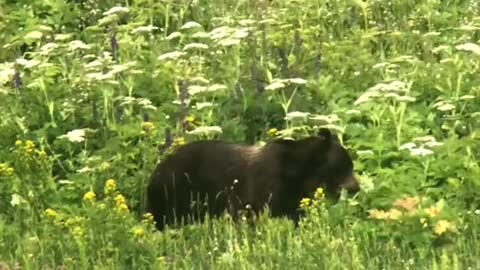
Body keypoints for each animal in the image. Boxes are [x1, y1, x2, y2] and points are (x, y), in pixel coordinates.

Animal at [146, 129, 360, 230]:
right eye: (345, 166)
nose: (356, 187)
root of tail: (156, 171)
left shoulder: (294, 194)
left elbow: (295, 214)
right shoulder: (266, 187)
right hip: (175, 191)